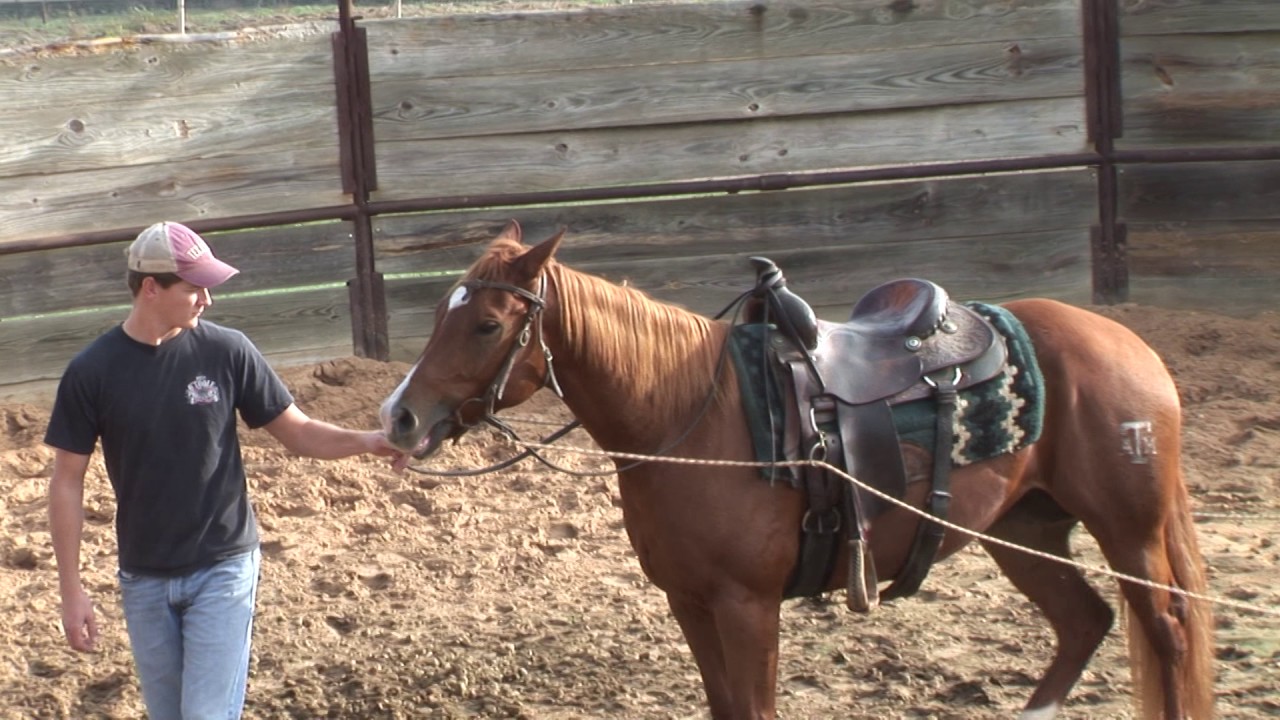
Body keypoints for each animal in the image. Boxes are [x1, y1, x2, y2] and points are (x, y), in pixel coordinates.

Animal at [379, 221, 1214, 720]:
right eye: (442, 314)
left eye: (487, 323)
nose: (400, 417)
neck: (693, 416)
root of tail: (1129, 345)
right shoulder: (689, 600)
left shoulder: (749, 604)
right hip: (1026, 530)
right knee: (1085, 623)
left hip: (1129, 532)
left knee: (1166, 633)